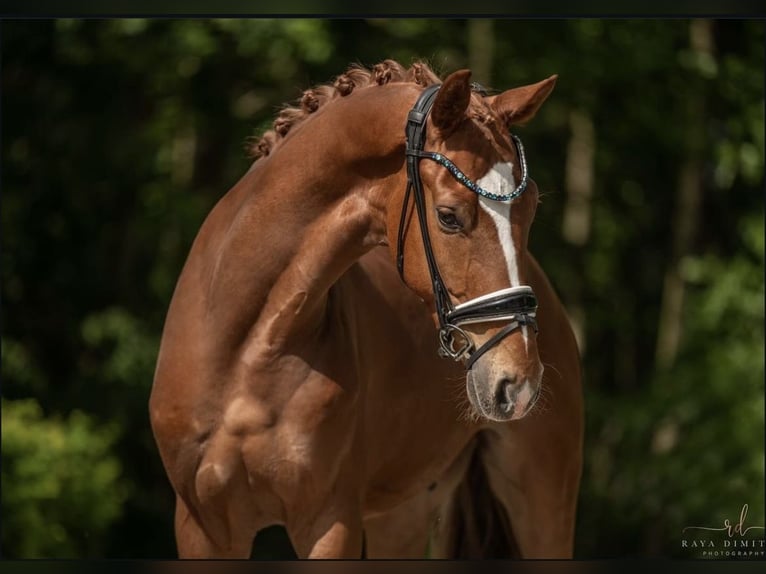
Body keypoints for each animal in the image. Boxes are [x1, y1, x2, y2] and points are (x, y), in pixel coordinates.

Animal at [148, 60, 584, 560]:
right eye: (449, 216)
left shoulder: (330, 521)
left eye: (530, 209)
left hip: (542, 505)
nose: (518, 382)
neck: (248, 346)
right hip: (403, 516)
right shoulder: (202, 527)